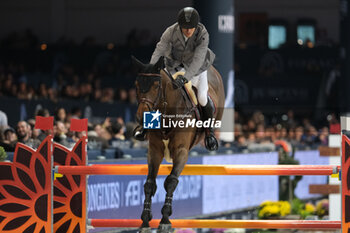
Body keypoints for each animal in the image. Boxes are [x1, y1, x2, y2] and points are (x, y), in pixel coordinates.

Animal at [133, 56, 226, 233]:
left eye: (156, 86)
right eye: (137, 85)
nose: (141, 118)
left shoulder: (181, 152)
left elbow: (170, 181)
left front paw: (165, 220)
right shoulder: (154, 151)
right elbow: (149, 184)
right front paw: (145, 221)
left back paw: (211, 138)